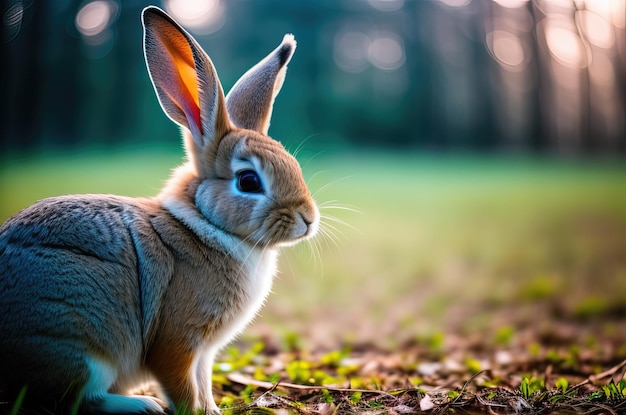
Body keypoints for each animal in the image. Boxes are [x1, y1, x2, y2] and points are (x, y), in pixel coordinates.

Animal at [0, 5, 316, 415]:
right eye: (248, 181)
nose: (308, 219)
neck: (207, 223)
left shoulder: (204, 354)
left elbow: (204, 383)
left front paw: (212, 410)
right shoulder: (177, 341)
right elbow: (182, 385)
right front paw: (191, 411)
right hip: (78, 337)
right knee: (80, 397)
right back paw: (142, 405)